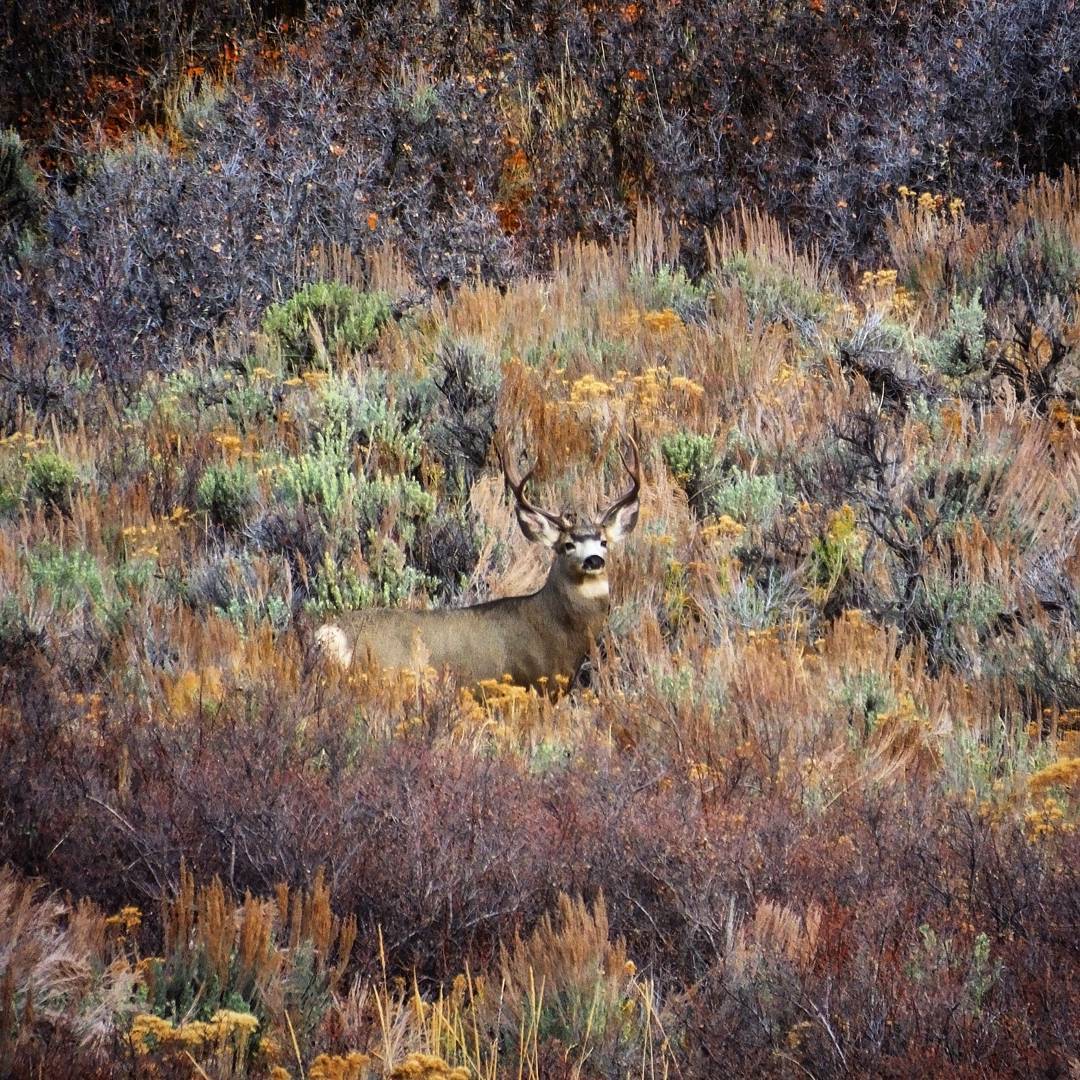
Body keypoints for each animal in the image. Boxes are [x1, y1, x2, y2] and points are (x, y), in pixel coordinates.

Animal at [313, 431, 641, 693]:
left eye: (604, 542)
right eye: (567, 545)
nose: (594, 560)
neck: (555, 626)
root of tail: (330, 634)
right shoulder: (532, 681)